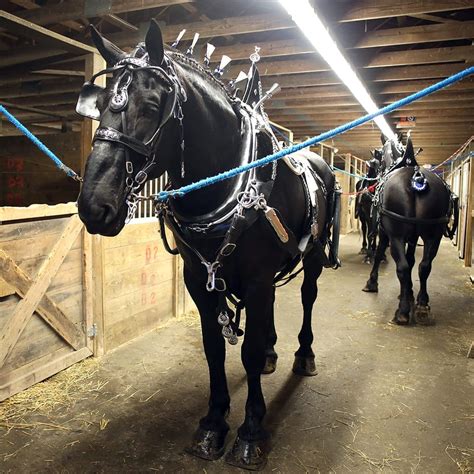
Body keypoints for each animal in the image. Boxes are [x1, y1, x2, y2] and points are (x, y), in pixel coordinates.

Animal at [362, 135, 460, 324]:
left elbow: (380, 253)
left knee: (402, 267)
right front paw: (409, 292)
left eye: (378, 159)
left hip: (396, 236)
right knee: (425, 266)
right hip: (433, 235)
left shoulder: (386, 233)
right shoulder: (414, 237)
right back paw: (422, 304)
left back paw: (402, 311)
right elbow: (412, 260)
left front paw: (372, 283)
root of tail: (417, 176)